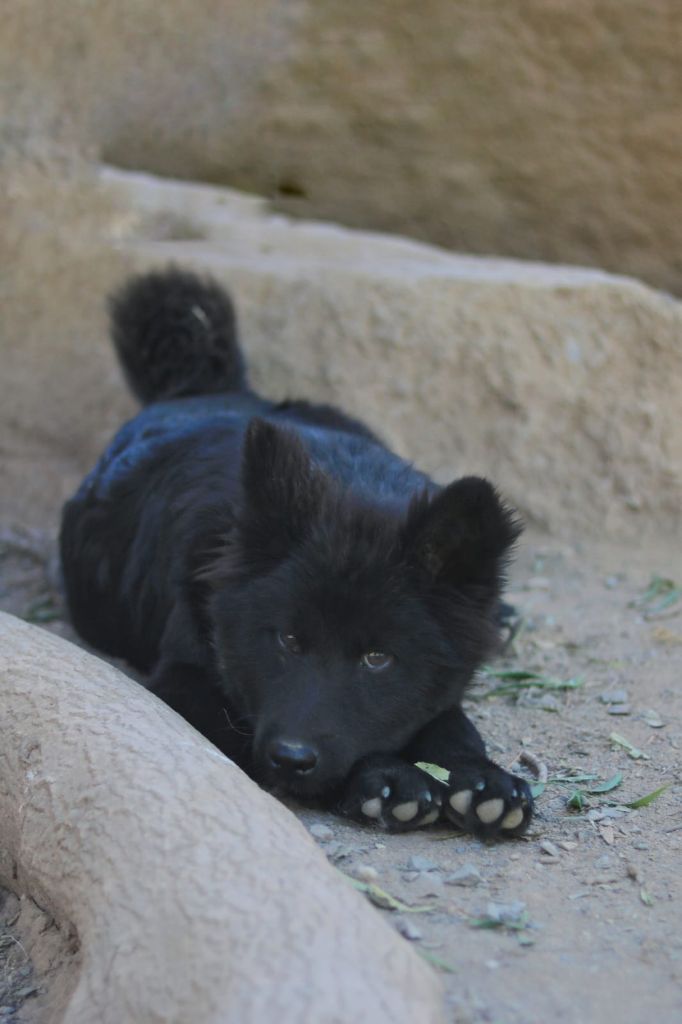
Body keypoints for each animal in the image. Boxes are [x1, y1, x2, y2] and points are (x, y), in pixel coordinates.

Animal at [61, 268, 532, 835]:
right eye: (287, 639)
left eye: (378, 659)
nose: (292, 758)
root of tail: (204, 388)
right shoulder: (182, 684)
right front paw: (387, 779)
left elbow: (451, 722)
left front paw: (482, 778)